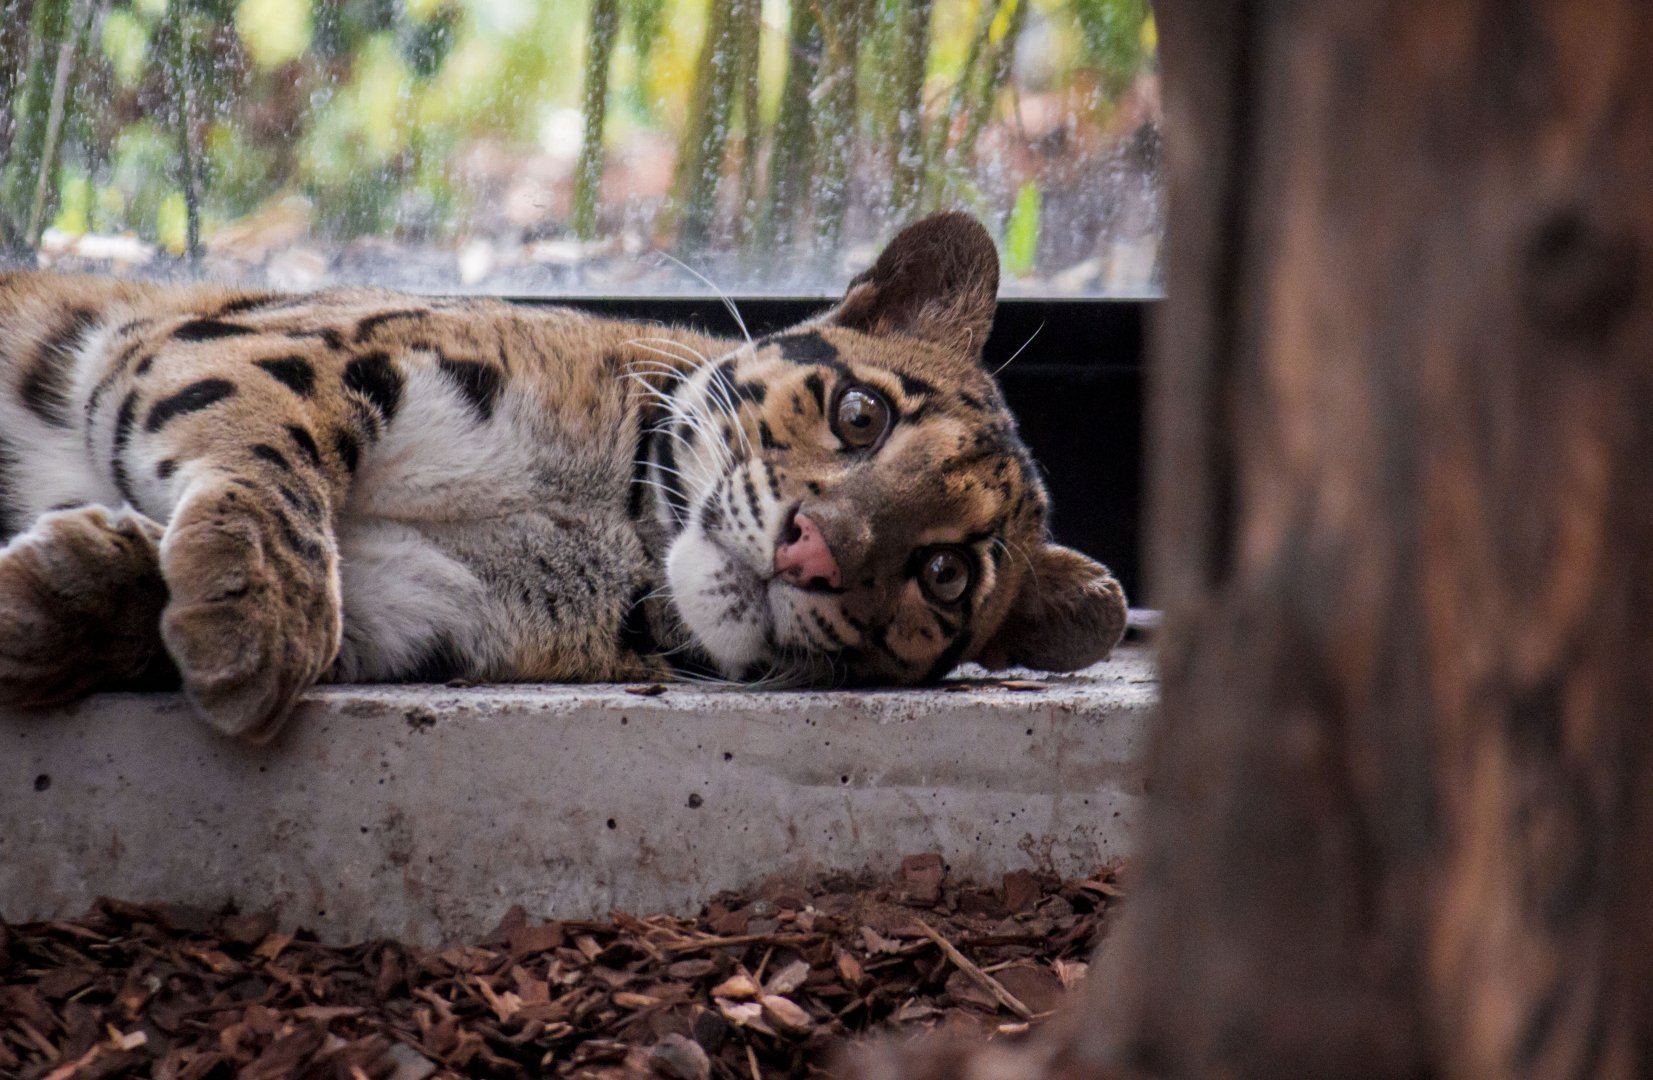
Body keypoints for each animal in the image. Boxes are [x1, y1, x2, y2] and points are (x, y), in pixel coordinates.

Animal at [0, 212, 1128, 741]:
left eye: (945, 575)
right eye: (862, 416)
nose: (811, 554)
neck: (616, 523)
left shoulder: (413, 609)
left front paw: (63, 596)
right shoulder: (293, 341)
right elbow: (281, 449)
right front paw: (257, 607)